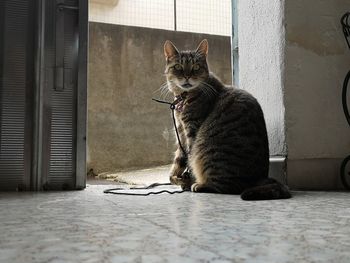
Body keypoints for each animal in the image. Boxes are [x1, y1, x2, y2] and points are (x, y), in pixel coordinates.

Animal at [163, 39, 292, 201]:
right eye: (178, 67)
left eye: (196, 67)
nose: (187, 76)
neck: (184, 98)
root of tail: (258, 179)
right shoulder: (180, 131)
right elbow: (179, 160)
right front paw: (177, 178)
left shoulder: (191, 130)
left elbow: (189, 160)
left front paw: (188, 180)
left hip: (210, 153)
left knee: (227, 187)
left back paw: (200, 185)